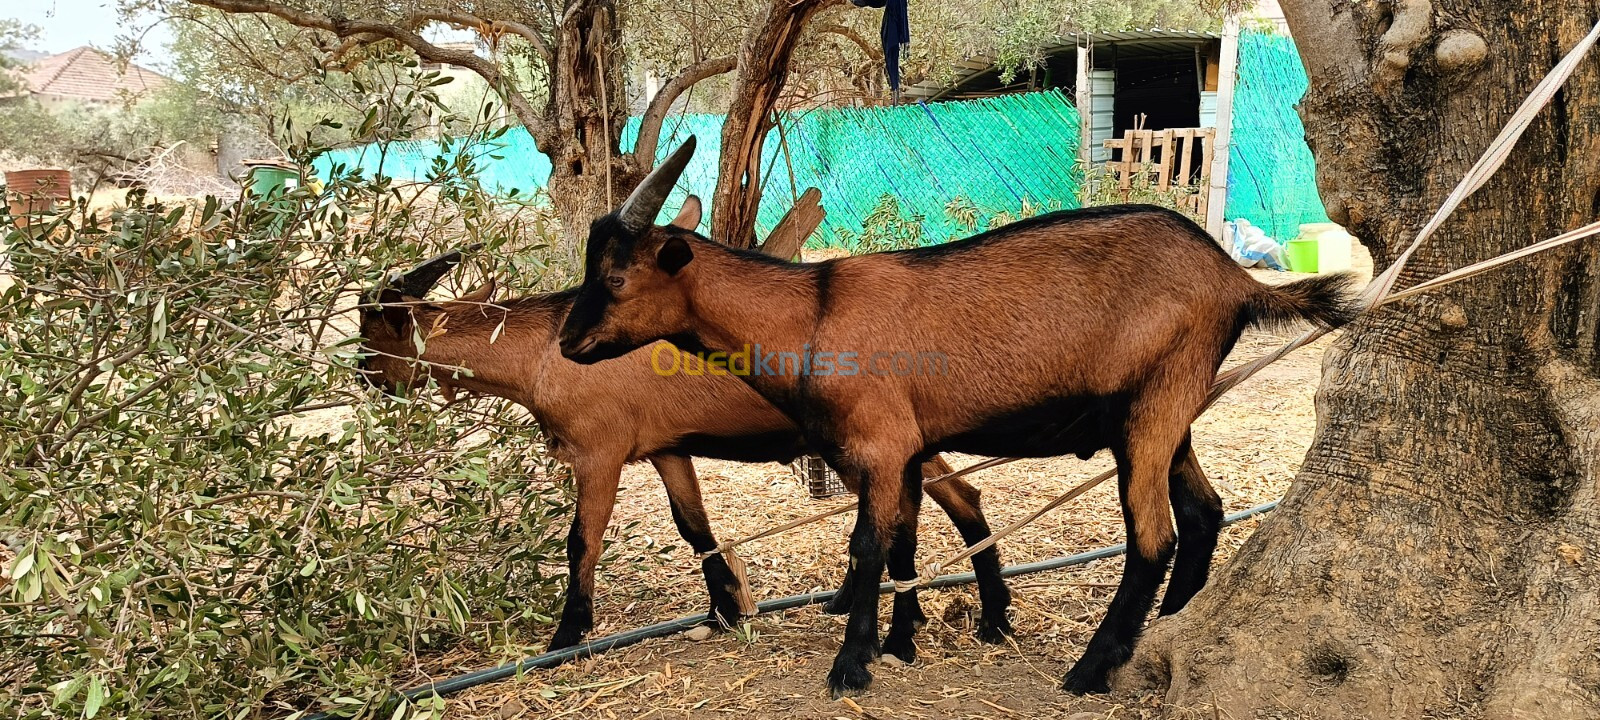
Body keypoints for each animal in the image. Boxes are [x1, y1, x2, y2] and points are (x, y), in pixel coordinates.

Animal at [360, 248, 1011, 652]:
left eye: (372, 336)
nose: (368, 377)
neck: (544, 350)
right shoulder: (666, 449)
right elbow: (693, 526)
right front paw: (724, 610)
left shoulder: (599, 452)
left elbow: (582, 541)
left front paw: (568, 633)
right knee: (930, 498)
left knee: (953, 495)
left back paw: (988, 618)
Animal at [556, 136, 1356, 697]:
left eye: (616, 278)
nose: (568, 342)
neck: (810, 316)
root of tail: (1235, 280)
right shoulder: (905, 449)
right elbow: (906, 542)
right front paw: (900, 643)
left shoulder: (879, 445)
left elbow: (868, 547)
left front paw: (851, 667)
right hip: (1171, 409)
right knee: (1203, 511)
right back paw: (1168, 625)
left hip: (1155, 405)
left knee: (1153, 536)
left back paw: (1091, 669)